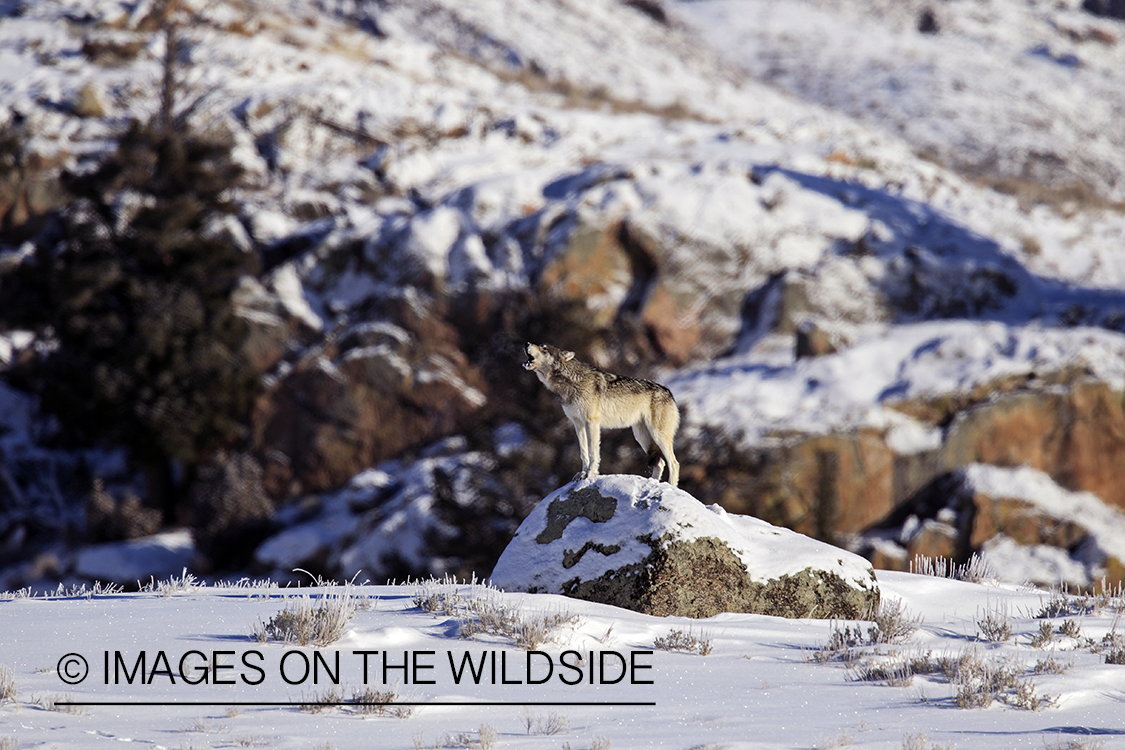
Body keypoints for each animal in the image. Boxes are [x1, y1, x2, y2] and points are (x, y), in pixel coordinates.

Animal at [523, 343, 680, 487]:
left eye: (544, 348)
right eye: (540, 345)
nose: (527, 343)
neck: (571, 382)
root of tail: (669, 392)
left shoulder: (591, 422)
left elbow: (593, 452)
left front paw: (590, 474)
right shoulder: (577, 424)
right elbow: (583, 452)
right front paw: (582, 474)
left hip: (658, 435)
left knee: (673, 463)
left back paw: (671, 487)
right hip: (642, 437)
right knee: (660, 463)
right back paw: (653, 483)